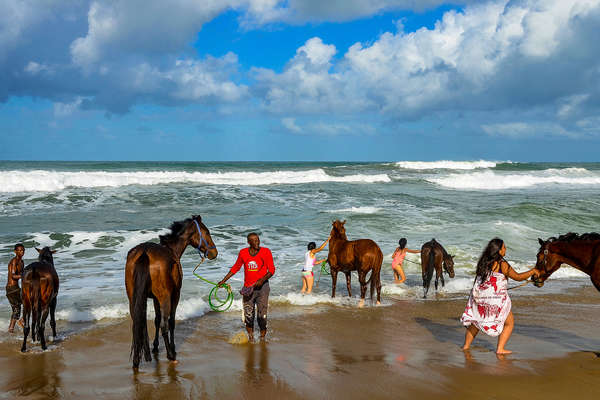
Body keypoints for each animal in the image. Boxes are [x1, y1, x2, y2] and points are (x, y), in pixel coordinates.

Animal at [125, 216, 219, 368]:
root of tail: (145, 252)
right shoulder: (175, 296)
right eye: (207, 232)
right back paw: (170, 355)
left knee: (137, 324)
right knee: (164, 325)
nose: (214, 253)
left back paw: (136, 360)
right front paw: (173, 348)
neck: (171, 250)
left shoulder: (155, 299)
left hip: (133, 298)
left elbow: (156, 320)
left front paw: (155, 346)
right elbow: (171, 322)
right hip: (165, 298)